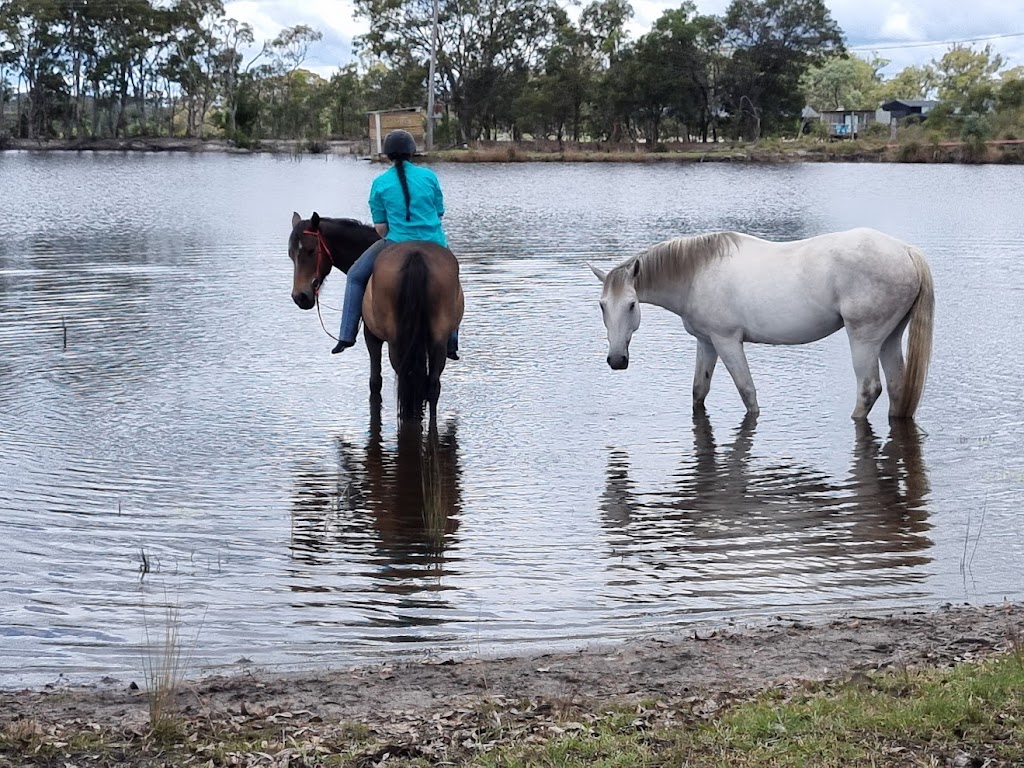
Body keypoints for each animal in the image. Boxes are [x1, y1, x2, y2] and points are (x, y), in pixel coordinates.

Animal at [288, 211, 465, 423]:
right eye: (290, 254)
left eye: (311, 250)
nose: (300, 297)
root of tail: (416, 255)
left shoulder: (371, 335)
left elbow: (375, 381)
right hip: (437, 339)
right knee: (431, 385)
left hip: (396, 342)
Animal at [590, 227, 934, 420]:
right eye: (602, 305)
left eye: (632, 305)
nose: (617, 360)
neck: (697, 273)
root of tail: (907, 252)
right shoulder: (707, 342)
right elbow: (699, 391)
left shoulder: (727, 341)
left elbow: (747, 392)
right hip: (889, 338)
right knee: (897, 387)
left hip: (864, 338)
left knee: (869, 389)